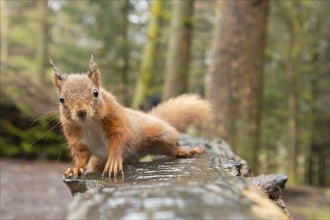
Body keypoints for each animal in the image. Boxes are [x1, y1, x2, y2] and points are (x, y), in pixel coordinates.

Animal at [51, 55, 211, 178]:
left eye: (96, 92)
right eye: (61, 99)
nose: (81, 112)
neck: (89, 123)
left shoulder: (117, 122)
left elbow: (118, 141)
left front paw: (114, 162)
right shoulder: (77, 138)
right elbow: (81, 156)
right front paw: (76, 169)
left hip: (161, 134)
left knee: (171, 148)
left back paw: (186, 151)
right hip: (99, 160)